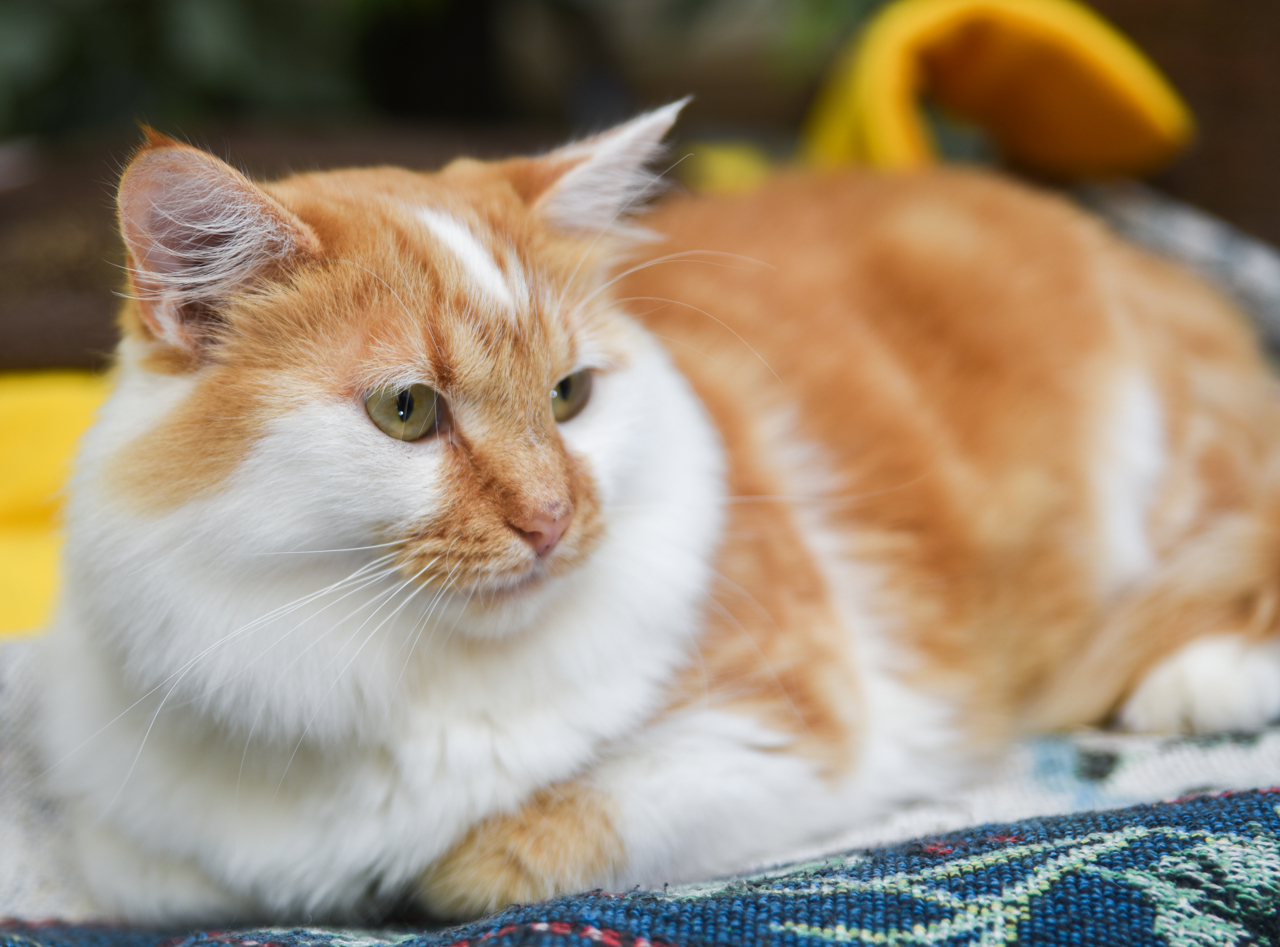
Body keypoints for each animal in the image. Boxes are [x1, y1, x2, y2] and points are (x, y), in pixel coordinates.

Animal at [35, 103, 1280, 926]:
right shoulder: (137, 838)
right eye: (406, 410)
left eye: (569, 395)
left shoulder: (784, 730)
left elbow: (493, 858)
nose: (551, 517)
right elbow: (167, 880)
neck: (395, 673)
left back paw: (1192, 683)